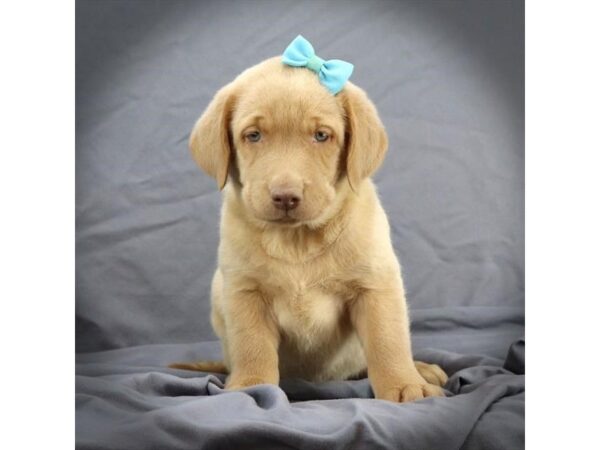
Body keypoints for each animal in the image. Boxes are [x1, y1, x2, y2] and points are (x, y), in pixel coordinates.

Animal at [171, 50, 448, 404]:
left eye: (321, 135)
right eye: (253, 135)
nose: (285, 197)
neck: (297, 239)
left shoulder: (376, 285)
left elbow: (388, 340)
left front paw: (404, 384)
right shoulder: (244, 291)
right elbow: (252, 345)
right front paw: (250, 385)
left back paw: (421, 369)